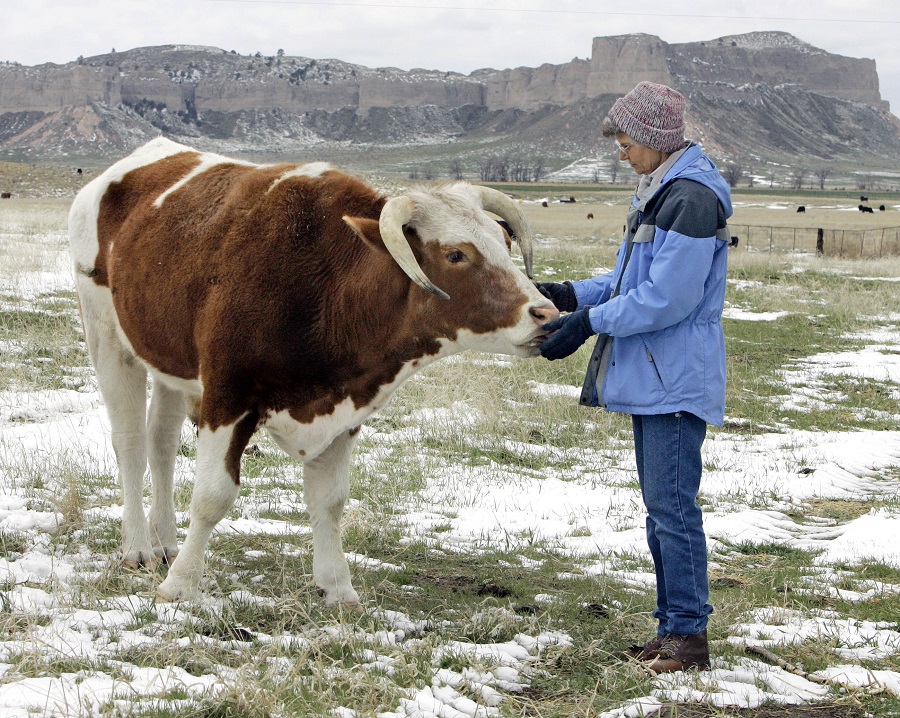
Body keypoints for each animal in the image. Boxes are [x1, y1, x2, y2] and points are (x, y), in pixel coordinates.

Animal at [70, 138, 560, 604]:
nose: (547, 314)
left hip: (165, 359)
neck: (328, 286)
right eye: (455, 254)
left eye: (505, 242)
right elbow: (212, 497)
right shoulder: (228, 396)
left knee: (161, 444)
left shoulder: (345, 406)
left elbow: (329, 501)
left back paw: (167, 543)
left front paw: (337, 587)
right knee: (131, 443)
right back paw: (138, 547)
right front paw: (181, 586)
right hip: (107, 338)